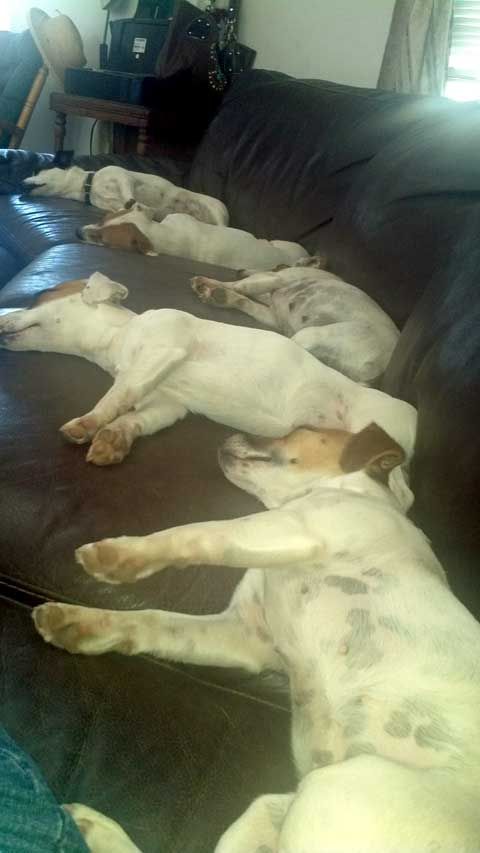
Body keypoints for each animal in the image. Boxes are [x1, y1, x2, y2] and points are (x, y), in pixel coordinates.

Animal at [0, 272, 414, 486]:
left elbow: (119, 394)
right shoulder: (169, 404)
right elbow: (136, 418)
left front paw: (89, 423)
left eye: (40, 294)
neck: (117, 341)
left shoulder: (163, 350)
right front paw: (113, 439)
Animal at [20, 162, 227, 225]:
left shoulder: (122, 176)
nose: (19, 184)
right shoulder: (112, 205)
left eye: (38, 171)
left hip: (216, 212)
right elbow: (123, 207)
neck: (90, 185)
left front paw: (133, 202)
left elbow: (128, 192)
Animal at [31, 422, 480, 852]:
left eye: (299, 427)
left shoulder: (294, 526)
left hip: (338, 788)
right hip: (269, 810)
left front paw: (119, 557)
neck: (353, 491)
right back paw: (93, 828)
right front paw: (78, 622)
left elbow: (194, 533)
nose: (226, 433)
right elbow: (153, 620)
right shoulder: (244, 634)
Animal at [193, 260, 400, 380]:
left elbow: (240, 286)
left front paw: (208, 284)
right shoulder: (273, 316)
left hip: (314, 334)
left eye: (277, 266)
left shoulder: (276, 279)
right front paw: (222, 296)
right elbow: (246, 301)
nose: (240, 269)